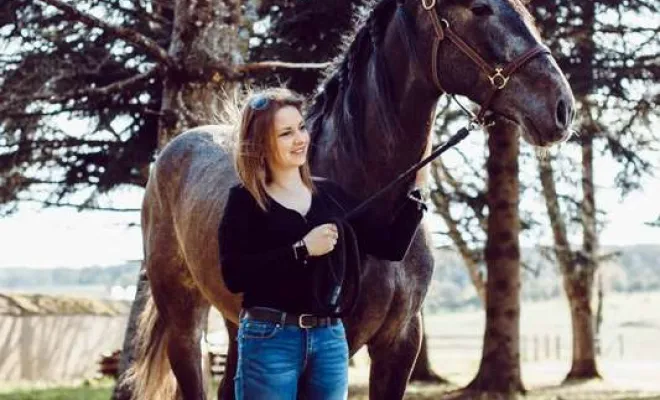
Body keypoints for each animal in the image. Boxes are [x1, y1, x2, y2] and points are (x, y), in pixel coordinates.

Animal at [125, 0, 574, 399]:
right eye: (479, 9)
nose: (562, 107)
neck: (366, 201)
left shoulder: (400, 343)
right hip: (184, 322)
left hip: (240, 323)